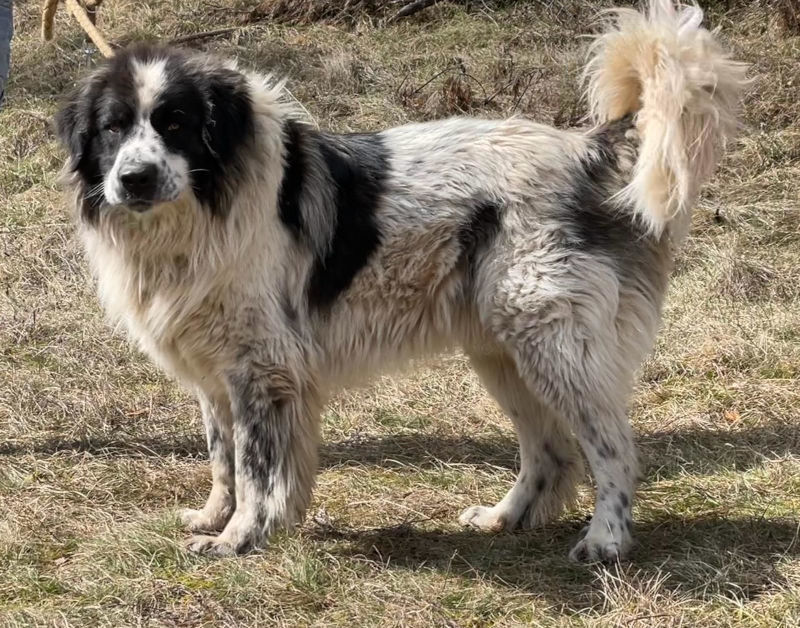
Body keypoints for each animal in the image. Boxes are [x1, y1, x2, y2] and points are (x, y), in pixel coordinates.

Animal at [54, 0, 744, 560]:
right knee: (550, 452)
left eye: (175, 123)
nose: (134, 179)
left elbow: (256, 469)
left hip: (555, 346)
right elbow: (224, 458)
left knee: (611, 447)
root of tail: (586, 150)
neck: (205, 203)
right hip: (505, 354)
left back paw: (606, 541)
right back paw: (505, 518)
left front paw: (239, 539)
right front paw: (215, 518)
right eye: (114, 127)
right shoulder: (217, 371)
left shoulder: (262, 370)